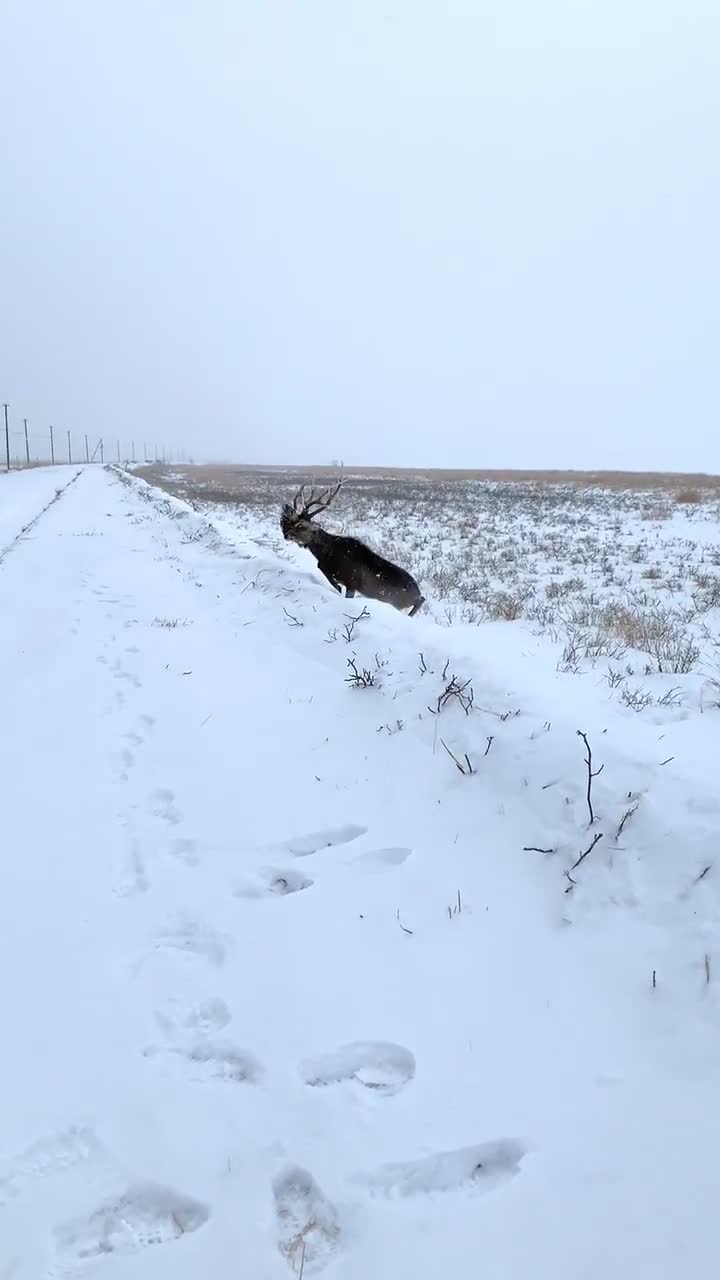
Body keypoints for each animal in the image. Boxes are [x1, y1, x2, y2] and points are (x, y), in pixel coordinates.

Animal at [279, 481, 425, 616]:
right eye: (289, 523)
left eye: (301, 525)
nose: (286, 534)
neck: (326, 553)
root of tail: (417, 591)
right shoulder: (328, 569)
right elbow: (329, 577)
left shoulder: (352, 582)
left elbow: (338, 587)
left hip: (398, 601)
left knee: (420, 600)